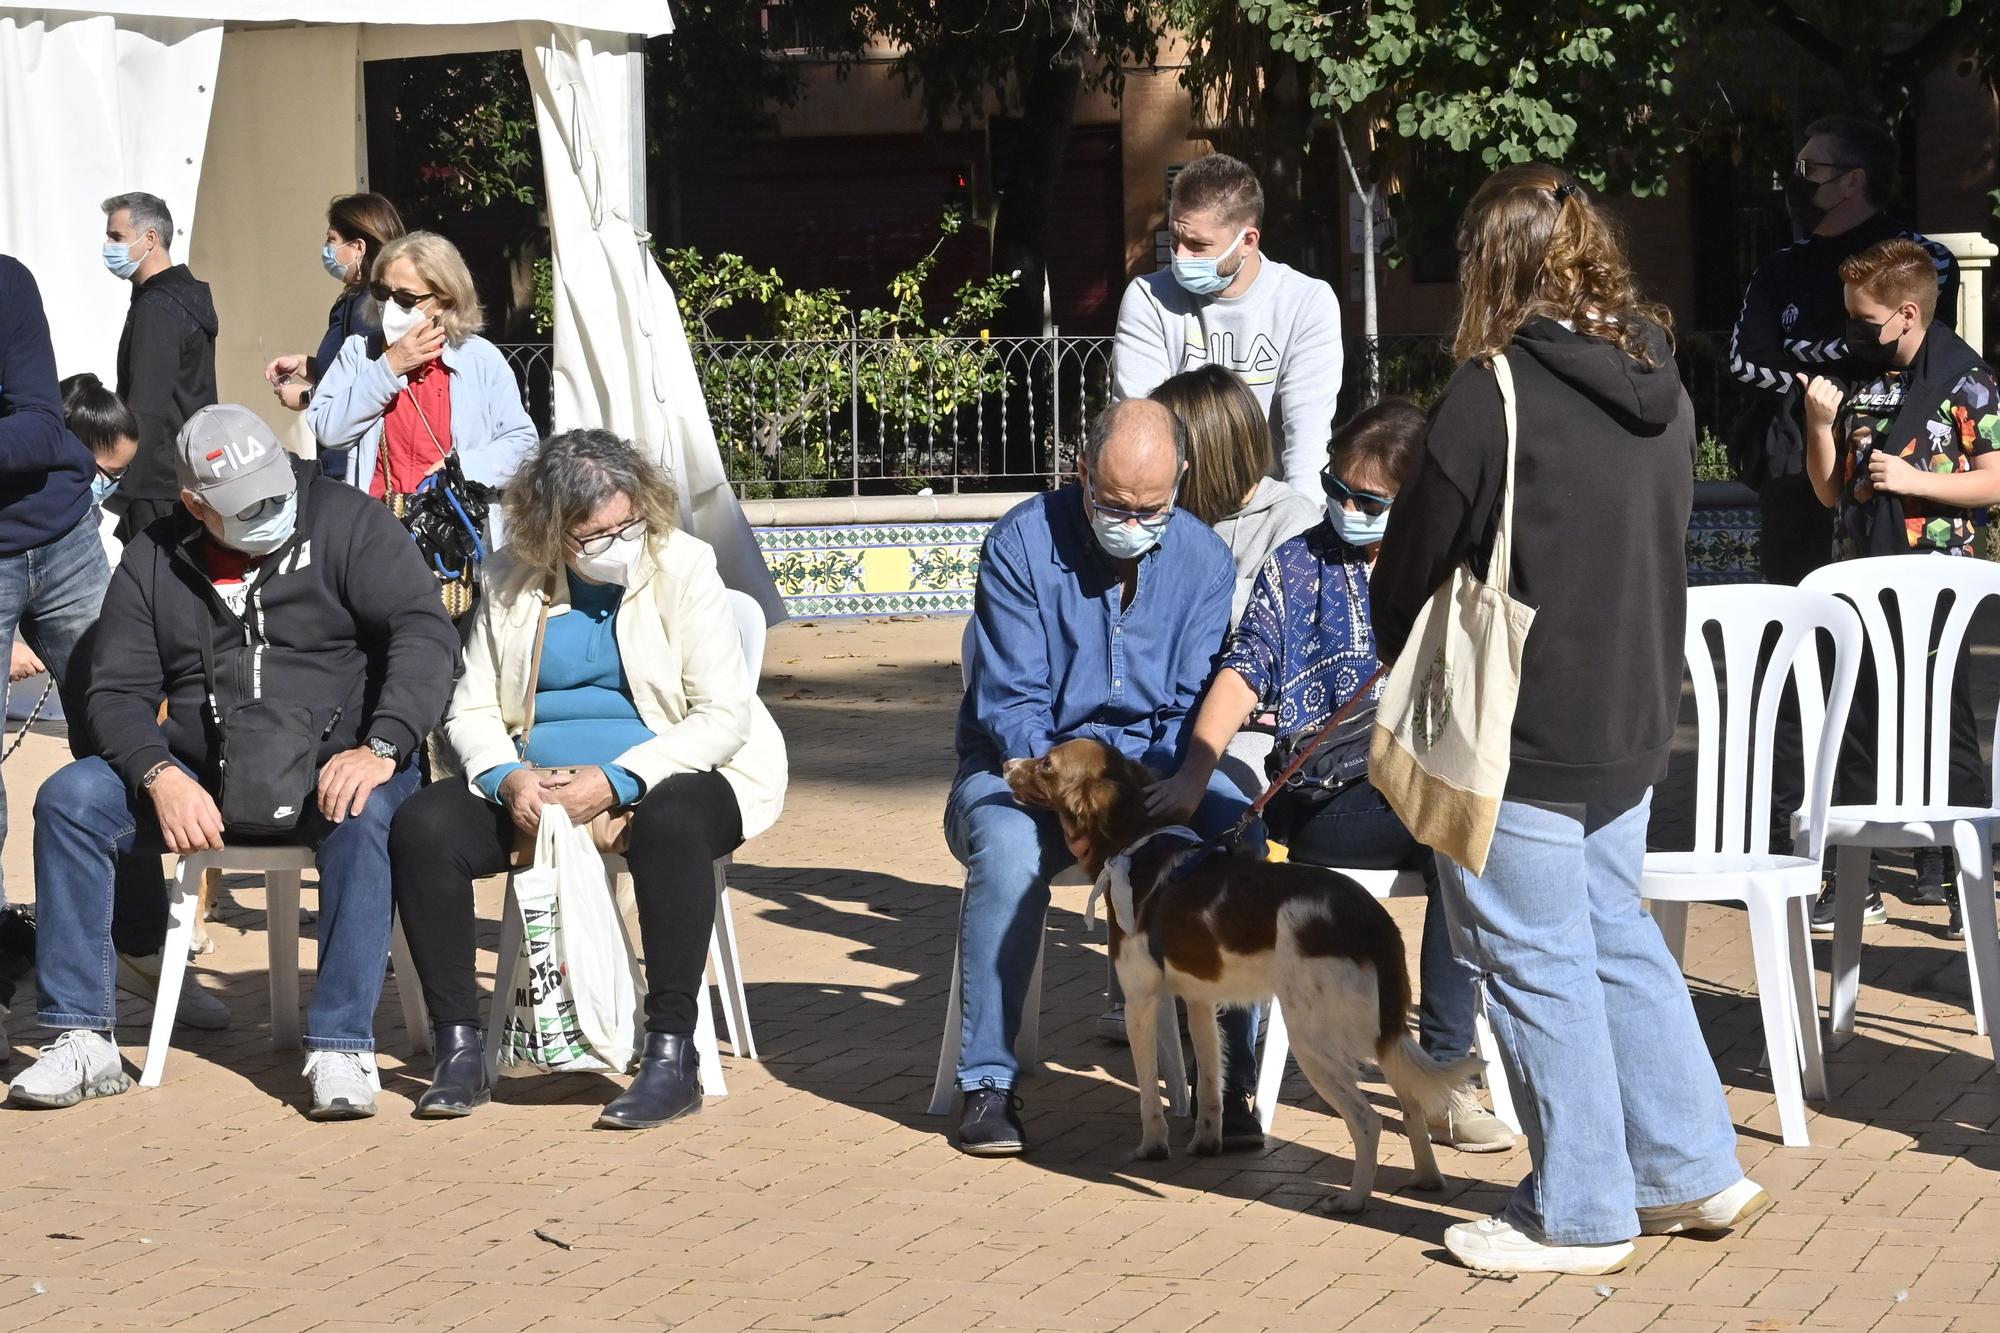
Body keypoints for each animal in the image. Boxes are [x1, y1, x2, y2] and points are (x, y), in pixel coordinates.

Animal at [1008, 732, 1480, 1208]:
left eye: (1046, 764)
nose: (1008, 764)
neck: (1137, 847)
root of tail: (1371, 916)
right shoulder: (1200, 999)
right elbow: (1210, 1082)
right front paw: (1207, 1142)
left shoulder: (1142, 1000)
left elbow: (1148, 1095)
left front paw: (1152, 1148)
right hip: (1381, 1032)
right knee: (1412, 1106)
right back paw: (1426, 1179)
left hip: (1314, 1039)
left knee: (1368, 1121)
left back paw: (1354, 1200)